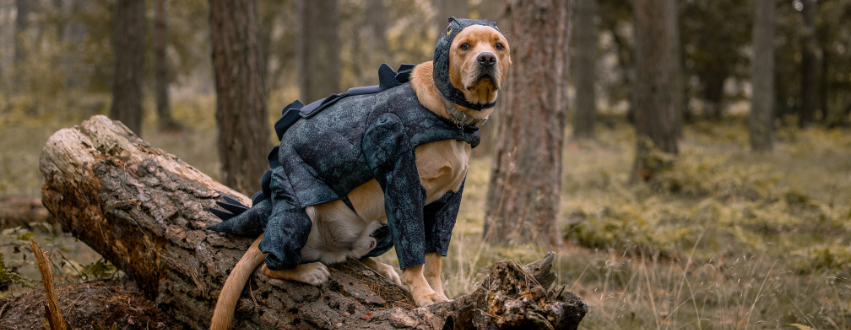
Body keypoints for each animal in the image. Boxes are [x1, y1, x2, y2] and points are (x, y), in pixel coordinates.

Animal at [209, 18, 510, 330]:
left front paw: (439, 294)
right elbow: (414, 254)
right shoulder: (403, 187)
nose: (486, 59)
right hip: (299, 216)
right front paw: (424, 295)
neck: (452, 116)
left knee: (355, 256)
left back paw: (379, 266)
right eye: (464, 46)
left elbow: (435, 258)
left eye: (499, 46)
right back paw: (307, 271)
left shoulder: (446, 201)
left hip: (381, 224)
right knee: (271, 265)